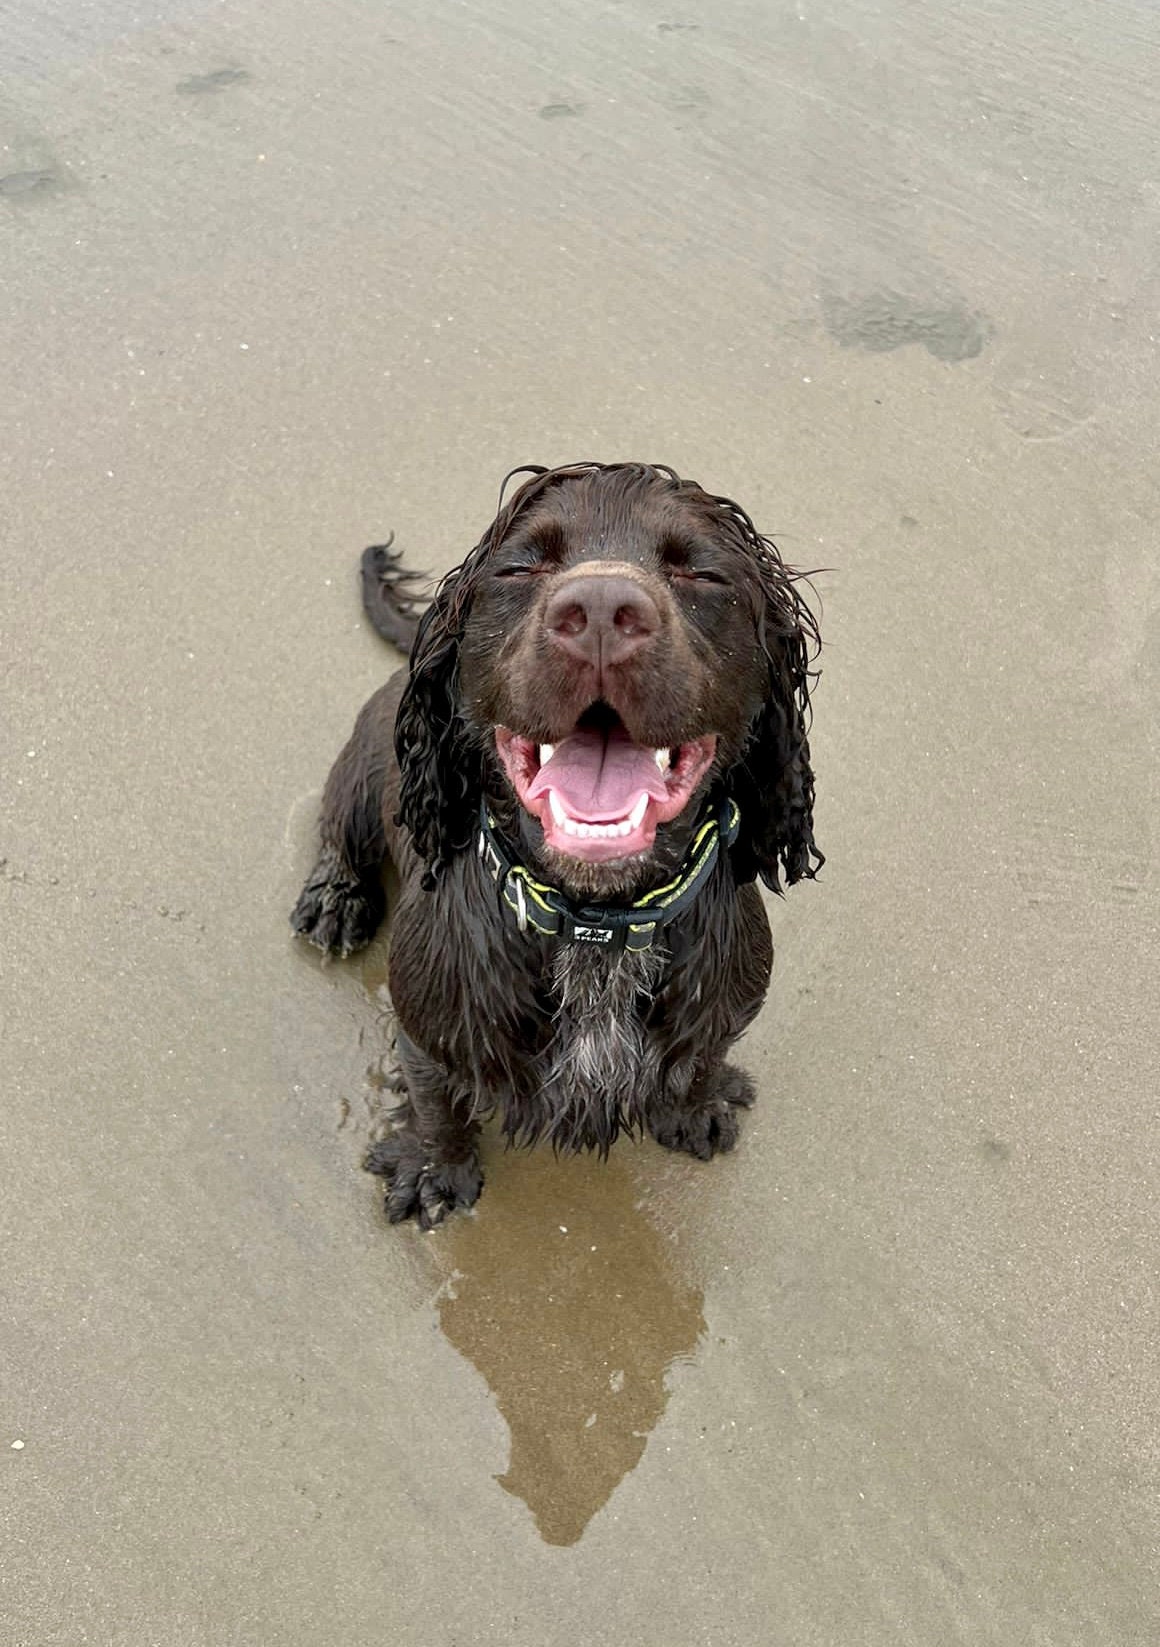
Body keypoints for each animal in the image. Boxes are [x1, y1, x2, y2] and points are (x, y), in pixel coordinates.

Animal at [294, 461, 820, 1225]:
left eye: (701, 573)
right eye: (521, 566)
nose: (601, 609)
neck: (597, 925)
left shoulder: (725, 999)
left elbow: (703, 1056)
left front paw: (699, 1107)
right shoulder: (426, 1021)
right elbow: (433, 1096)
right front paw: (432, 1169)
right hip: (361, 773)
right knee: (338, 827)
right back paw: (334, 900)